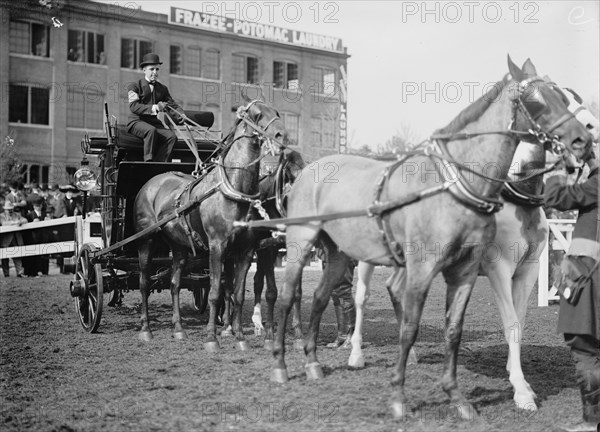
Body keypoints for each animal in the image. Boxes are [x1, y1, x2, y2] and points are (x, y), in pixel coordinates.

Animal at [134, 99, 288, 350]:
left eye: (275, 112)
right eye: (256, 114)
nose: (282, 135)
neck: (234, 189)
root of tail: (151, 182)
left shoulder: (246, 251)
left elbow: (237, 294)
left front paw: (240, 337)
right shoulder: (218, 246)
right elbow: (216, 292)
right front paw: (211, 338)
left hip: (179, 247)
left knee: (175, 284)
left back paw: (179, 329)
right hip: (146, 240)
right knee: (144, 282)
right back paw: (146, 329)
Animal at [274, 57, 592, 418]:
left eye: (563, 97)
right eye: (537, 101)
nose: (583, 140)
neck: (457, 186)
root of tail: (310, 169)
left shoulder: (473, 270)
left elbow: (456, 330)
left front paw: (459, 398)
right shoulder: (451, 268)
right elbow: (413, 328)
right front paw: (399, 397)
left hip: (341, 253)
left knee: (320, 297)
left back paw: (313, 363)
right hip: (311, 246)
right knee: (303, 298)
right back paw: (298, 364)